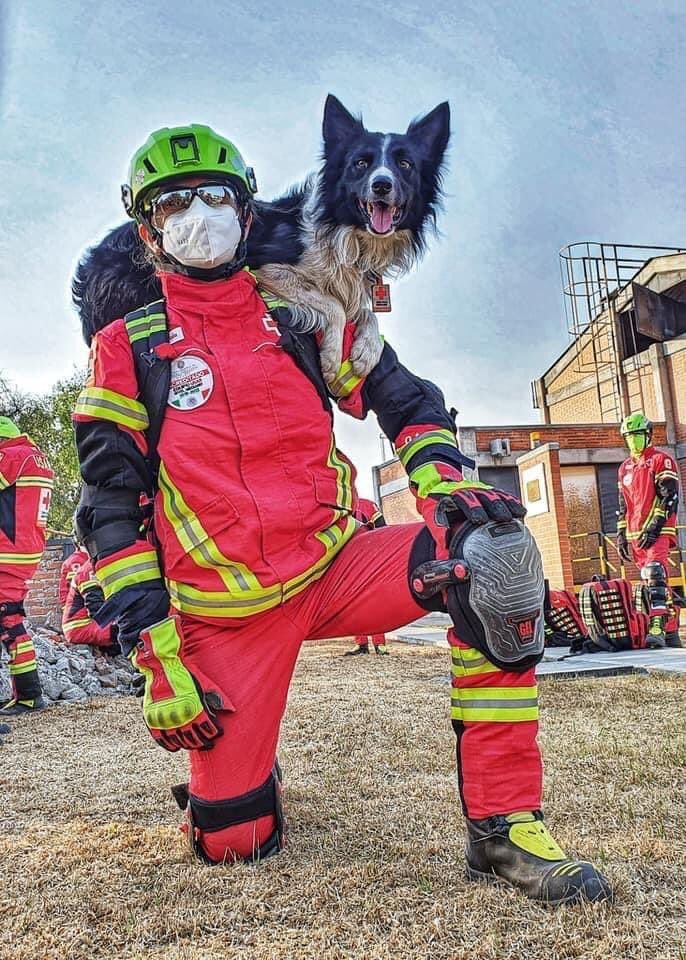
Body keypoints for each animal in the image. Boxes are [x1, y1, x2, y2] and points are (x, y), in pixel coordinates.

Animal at [74, 95, 452, 382]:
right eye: (360, 163)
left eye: (405, 165)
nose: (382, 185)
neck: (344, 234)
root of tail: (91, 260)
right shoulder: (267, 268)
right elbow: (332, 305)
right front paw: (332, 358)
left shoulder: (354, 281)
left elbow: (362, 309)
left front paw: (366, 350)